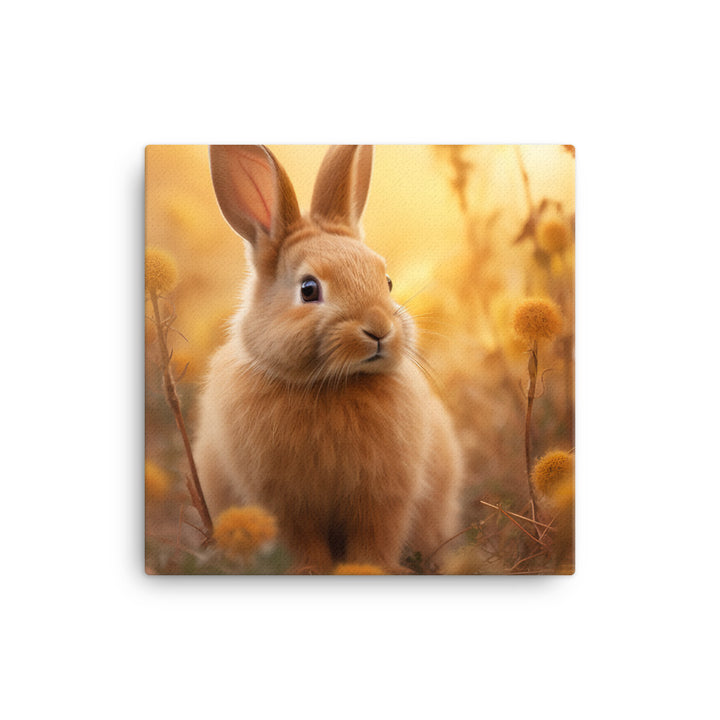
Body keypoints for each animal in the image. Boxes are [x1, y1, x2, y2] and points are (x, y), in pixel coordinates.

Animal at [194, 145, 463, 573]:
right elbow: (302, 539)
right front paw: (310, 571)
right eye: (308, 289)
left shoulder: (383, 493)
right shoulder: (284, 501)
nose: (378, 329)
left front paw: (370, 569)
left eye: (386, 281)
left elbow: (376, 535)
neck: (333, 385)